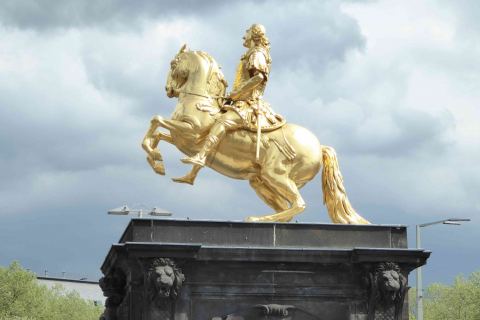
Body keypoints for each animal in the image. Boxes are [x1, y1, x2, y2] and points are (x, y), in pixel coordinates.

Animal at [141, 45, 370, 224]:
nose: (168, 90)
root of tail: (319, 146)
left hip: (275, 174)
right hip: (260, 181)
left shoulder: (190, 133)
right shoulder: (180, 138)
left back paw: (255, 219)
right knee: (286, 209)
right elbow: (157, 134)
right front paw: (157, 162)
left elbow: (156, 120)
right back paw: (260, 219)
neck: (201, 101)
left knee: (298, 204)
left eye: (173, 64)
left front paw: (160, 160)